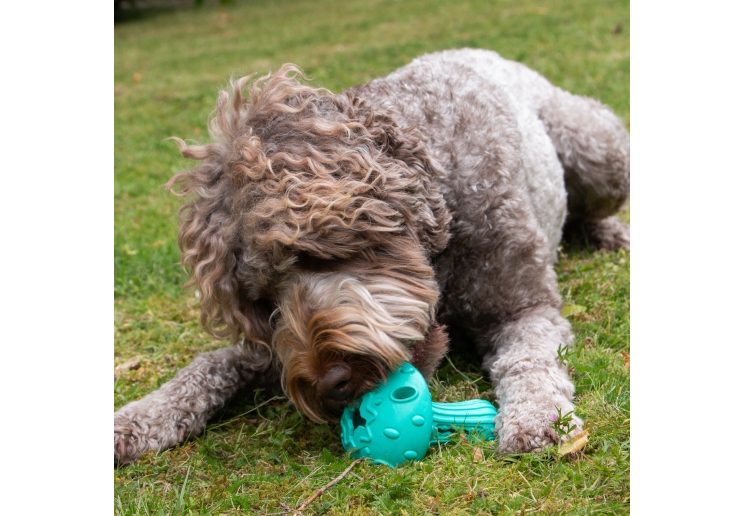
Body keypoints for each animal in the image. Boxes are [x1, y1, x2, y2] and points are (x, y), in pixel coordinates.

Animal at [115, 48, 628, 466]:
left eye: (306, 256)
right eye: (263, 302)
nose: (330, 386)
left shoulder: (522, 306)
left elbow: (528, 361)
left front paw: (538, 419)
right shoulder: (269, 353)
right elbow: (209, 364)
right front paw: (140, 417)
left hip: (600, 153)